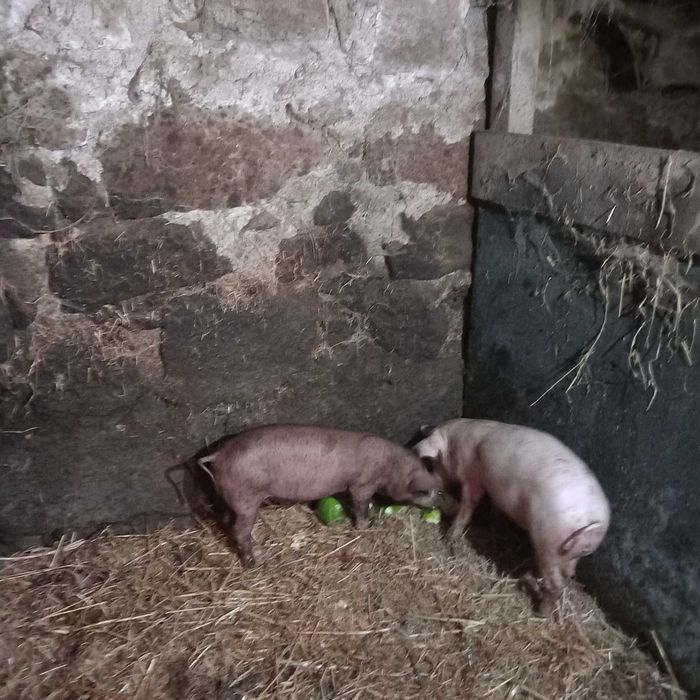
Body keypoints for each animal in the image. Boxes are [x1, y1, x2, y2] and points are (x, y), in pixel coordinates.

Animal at [198, 424, 442, 567]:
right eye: (425, 491)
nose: (439, 501)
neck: (390, 467)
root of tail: (219, 454)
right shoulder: (361, 484)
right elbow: (360, 504)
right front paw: (366, 525)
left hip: (231, 496)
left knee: (227, 520)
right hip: (247, 498)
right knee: (240, 530)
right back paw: (254, 562)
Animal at [413, 419, 610, 614]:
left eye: (434, 463)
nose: (433, 485)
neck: (456, 443)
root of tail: (594, 522)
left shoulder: (472, 477)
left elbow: (468, 505)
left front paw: (449, 536)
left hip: (550, 544)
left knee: (555, 583)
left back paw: (541, 613)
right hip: (568, 553)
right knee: (567, 574)